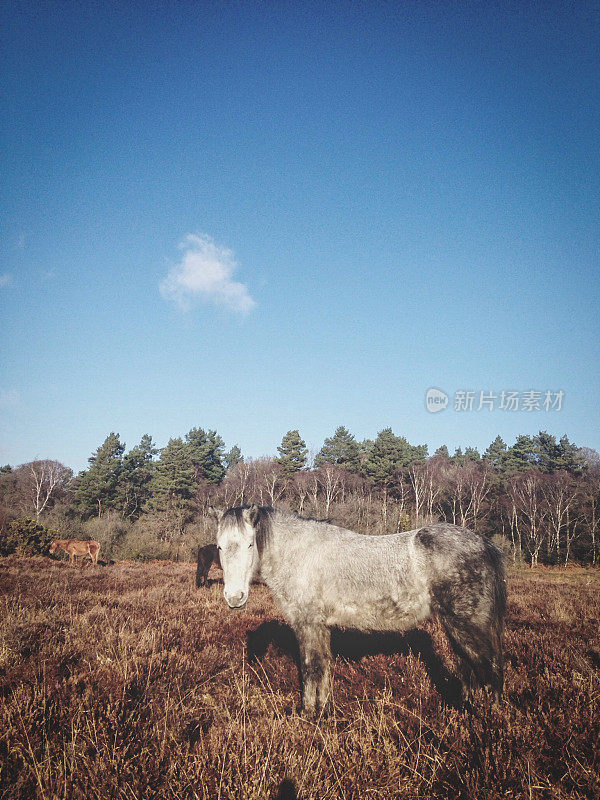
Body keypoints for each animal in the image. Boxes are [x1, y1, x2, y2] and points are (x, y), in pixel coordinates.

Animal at [211, 506, 506, 720]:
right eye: (220, 546)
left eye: (250, 545)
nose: (234, 597)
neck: (299, 554)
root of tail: (484, 544)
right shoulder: (321, 626)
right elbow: (324, 667)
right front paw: (323, 710)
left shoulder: (307, 623)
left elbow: (310, 667)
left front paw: (308, 714)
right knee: (471, 667)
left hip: (466, 624)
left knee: (489, 667)